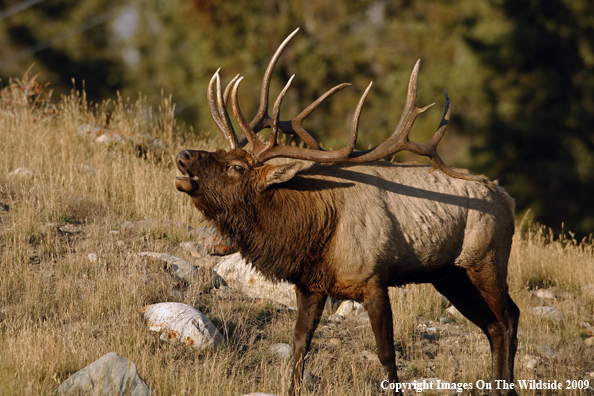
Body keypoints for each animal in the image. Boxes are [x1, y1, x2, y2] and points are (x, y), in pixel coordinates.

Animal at [175, 29, 520, 394]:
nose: (184, 155)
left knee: (508, 318)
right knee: (493, 325)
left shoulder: (374, 279)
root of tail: (507, 199)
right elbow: (300, 344)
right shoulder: (310, 285)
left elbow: (386, 354)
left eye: (236, 167)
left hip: (486, 260)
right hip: (449, 275)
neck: (315, 233)